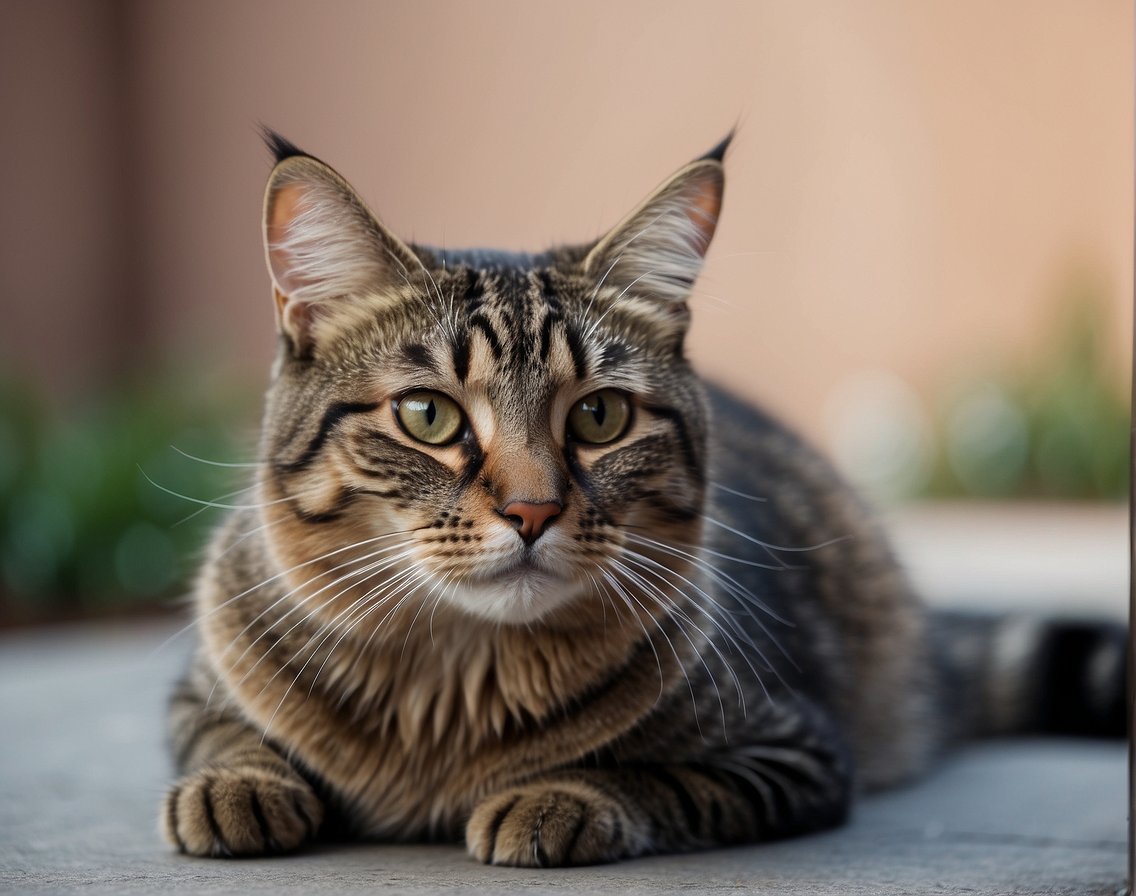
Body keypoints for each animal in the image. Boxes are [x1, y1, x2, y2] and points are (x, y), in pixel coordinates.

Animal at [162, 129, 1126, 863]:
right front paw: (233, 786)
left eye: (600, 416)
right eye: (428, 415)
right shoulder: (199, 690)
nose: (532, 511)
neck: (449, 690)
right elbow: (218, 737)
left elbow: (655, 779)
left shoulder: (793, 748)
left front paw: (556, 798)